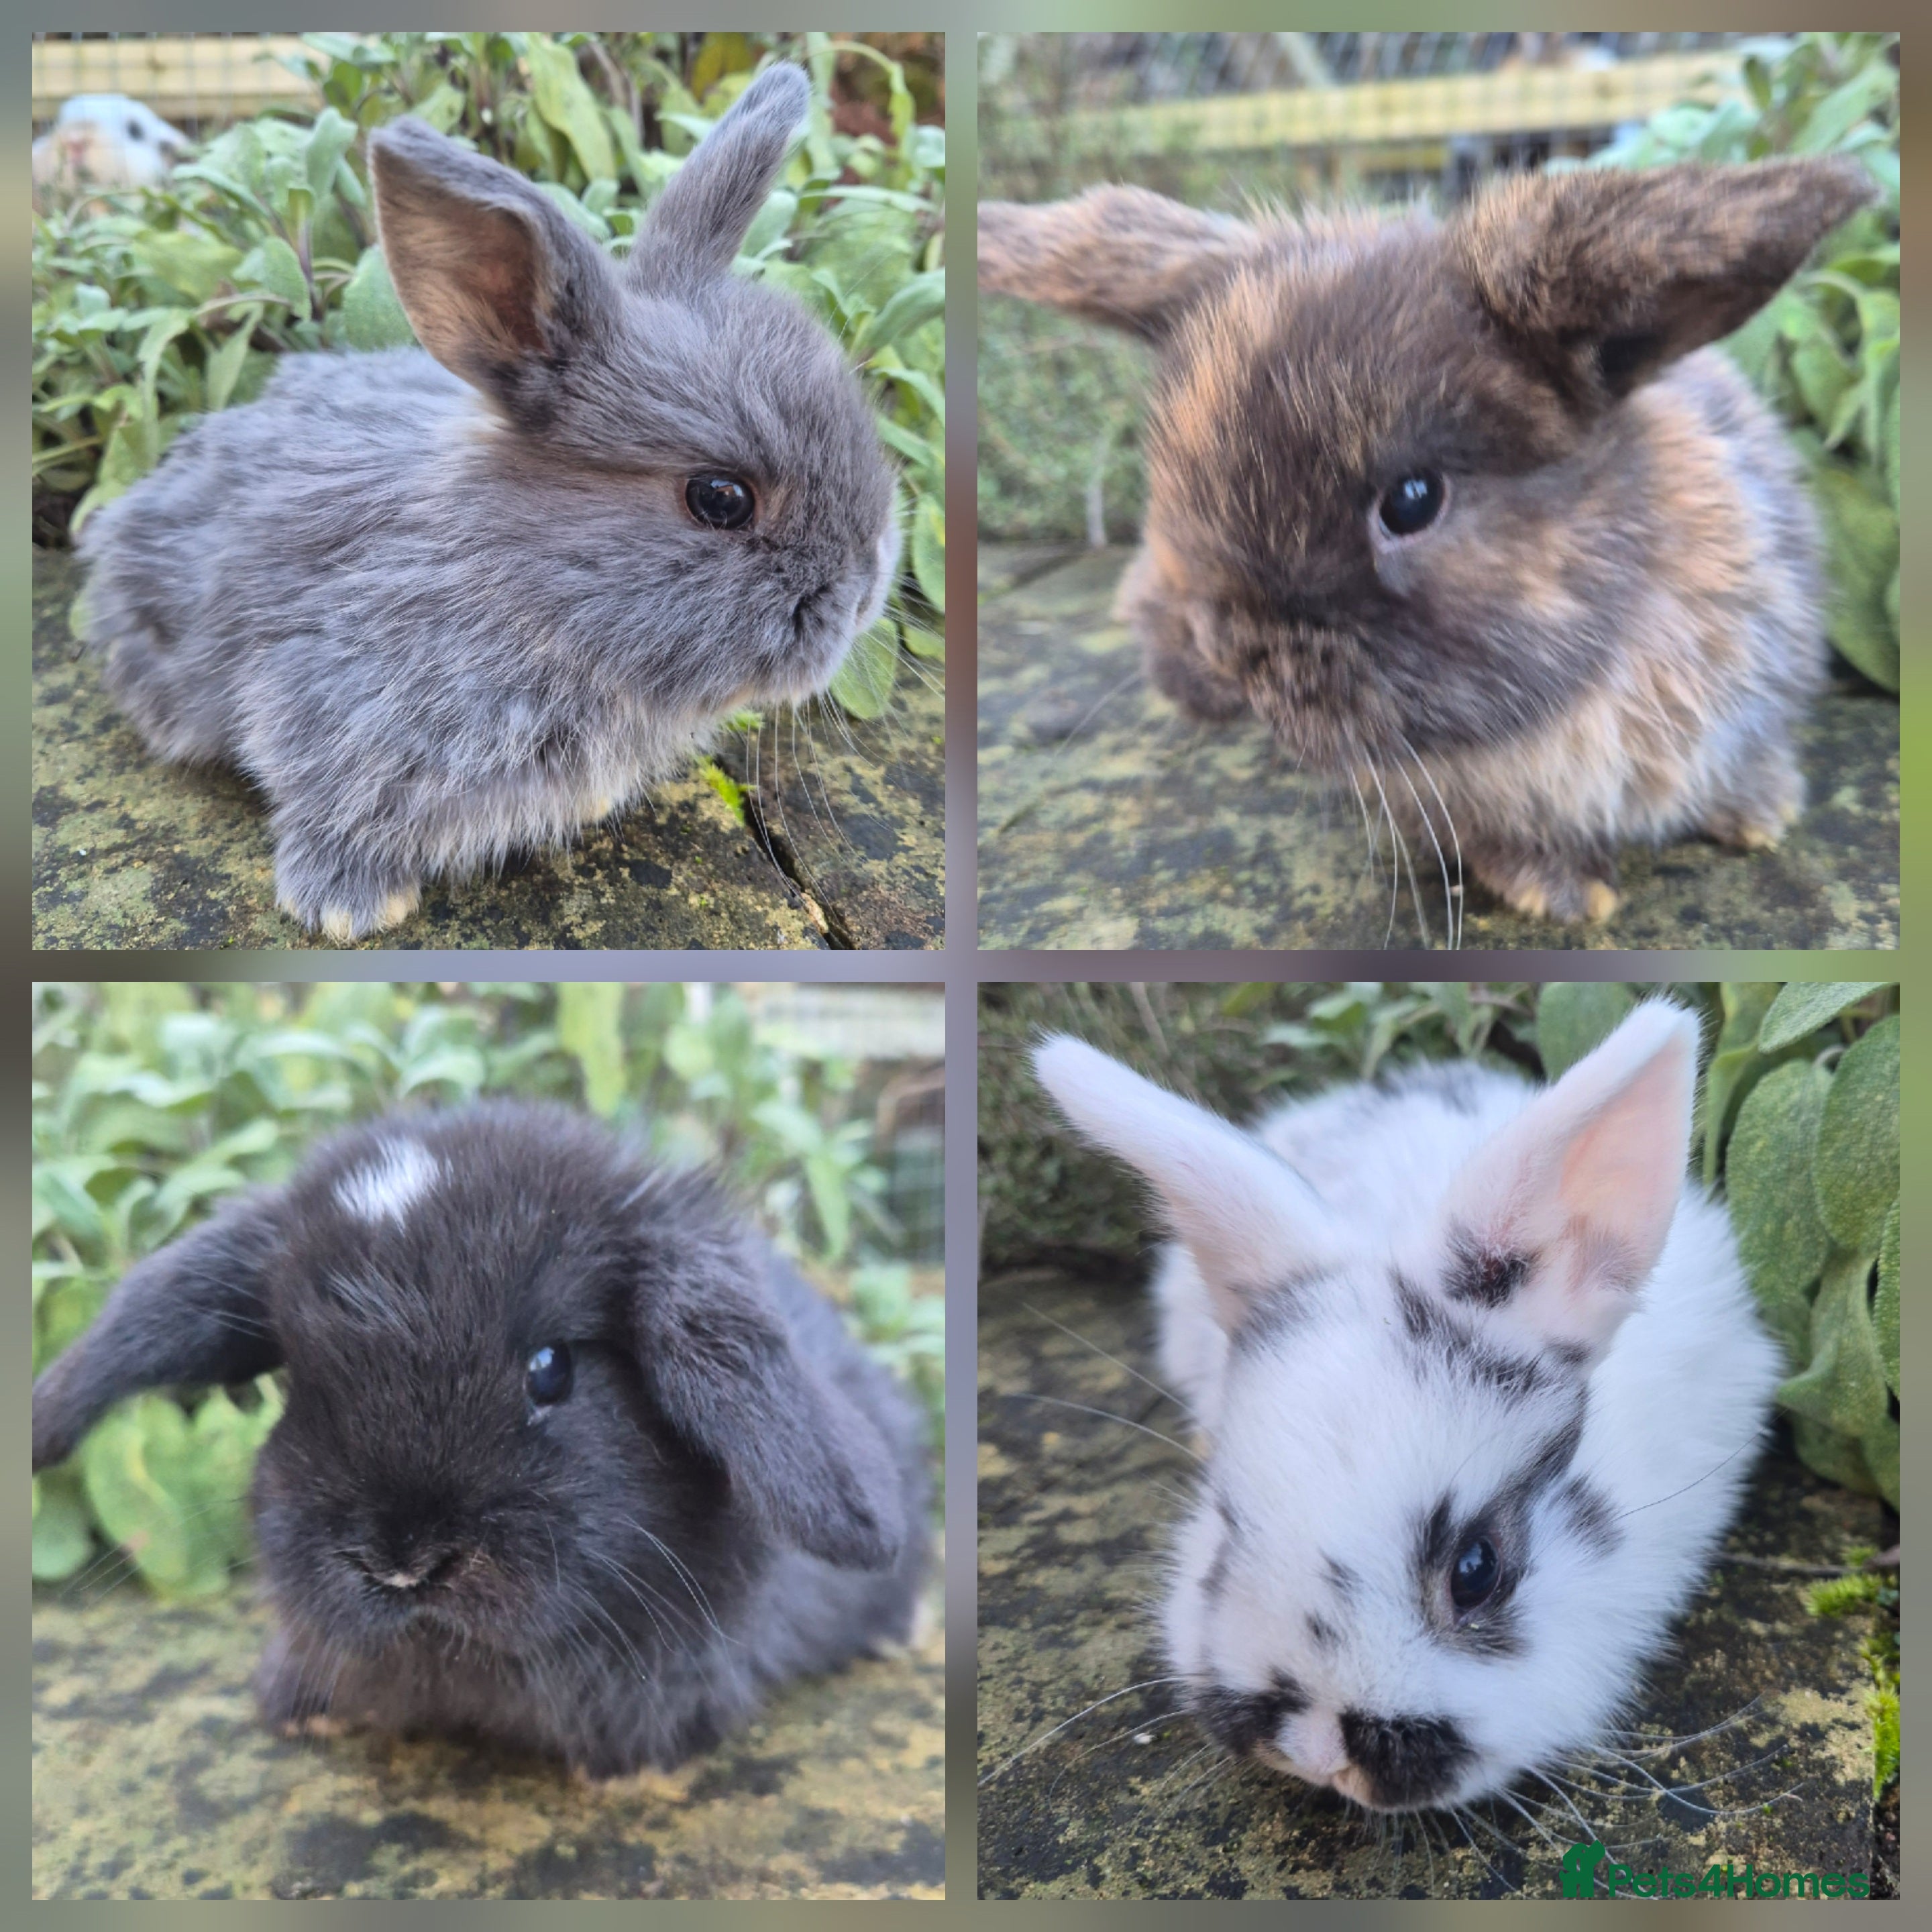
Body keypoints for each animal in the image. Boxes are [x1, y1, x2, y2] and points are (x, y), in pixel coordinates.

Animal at [77, 63, 902, 941]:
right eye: (721, 499)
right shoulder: (323, 705)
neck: (522, 585)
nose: (862, 601)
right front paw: (346, 908)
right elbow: (326, 810)